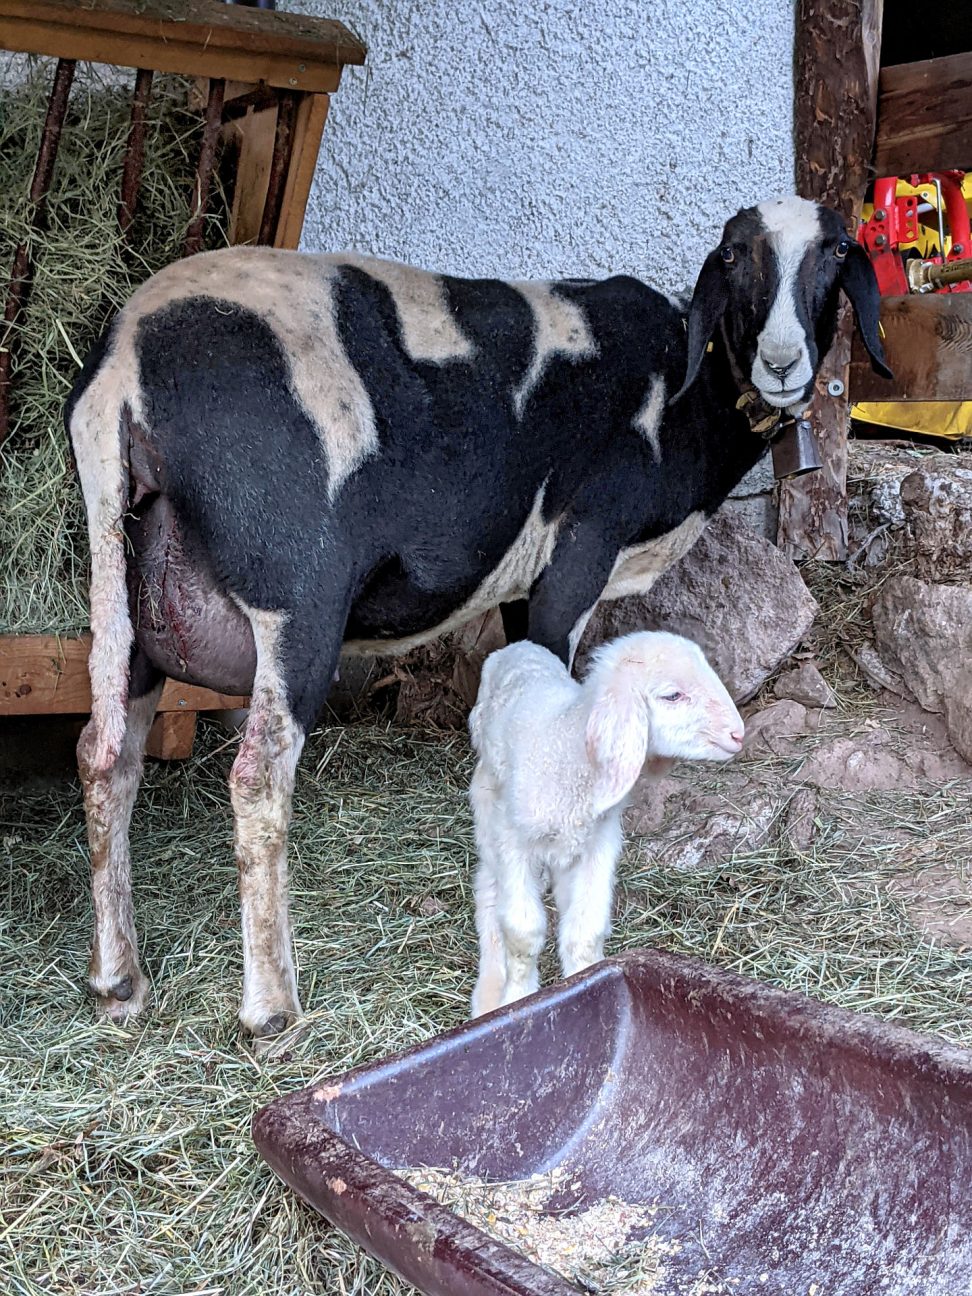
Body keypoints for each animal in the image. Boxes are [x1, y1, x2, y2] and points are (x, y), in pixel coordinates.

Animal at [469, 632, 741, 1016]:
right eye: (672, 695)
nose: (738, 735)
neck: (568, 751)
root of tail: (520, 645)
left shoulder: (599, 843)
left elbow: (585, 932)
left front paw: (584, 989)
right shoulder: (514, 840)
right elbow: (523, 933)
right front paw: (517, 999)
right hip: (487, 802)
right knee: (489, 889)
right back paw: (490, 990)